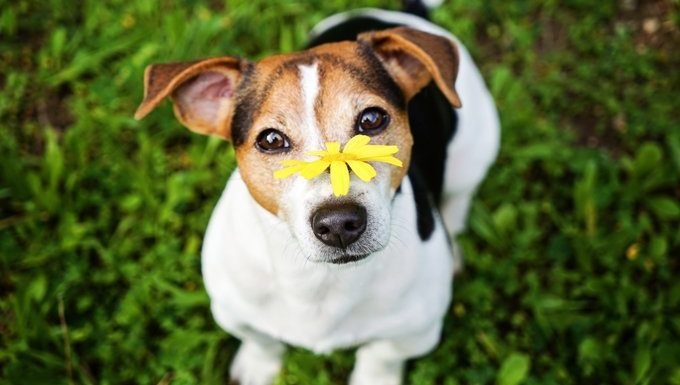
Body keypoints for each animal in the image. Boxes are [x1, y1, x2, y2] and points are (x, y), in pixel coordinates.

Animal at [134, 3, 500, 384]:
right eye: (271, 139)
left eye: (372, 119)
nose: (339, 223)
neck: (320, 279)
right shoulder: (233, 311)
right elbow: (262, 340)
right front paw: (257, 366)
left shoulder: (414, 332)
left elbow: (380, 357)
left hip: (475, 152)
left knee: (458, 202)